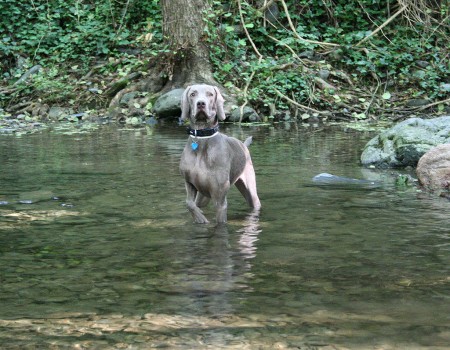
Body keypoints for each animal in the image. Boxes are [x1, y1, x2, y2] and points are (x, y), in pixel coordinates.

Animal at [179, 83, 260, 223]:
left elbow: (220, 220)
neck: (202, 139)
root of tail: (243, 145)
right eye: (193, 94)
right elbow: (189, 203)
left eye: (210, 94)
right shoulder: (189, 182)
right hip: (203, 196)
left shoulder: (220, 195)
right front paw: (201, 218)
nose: (201, 103)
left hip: (250, 190)